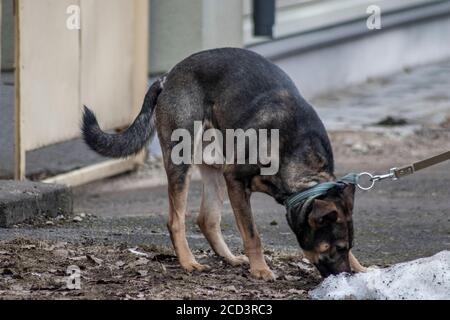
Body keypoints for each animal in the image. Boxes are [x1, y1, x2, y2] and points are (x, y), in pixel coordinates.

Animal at [81, 47, 366, 280]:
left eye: (348, 247)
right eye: (336, 248)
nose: (347, 276)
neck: (298, 155)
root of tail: (168, 76)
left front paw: (361, 267)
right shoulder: (236, 181)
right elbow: (252, 234)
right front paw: (260, 269)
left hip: (215, 170)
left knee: (206, 219)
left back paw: (228, 258)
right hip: (182, 162)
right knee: (176, 220)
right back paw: (188, 262)